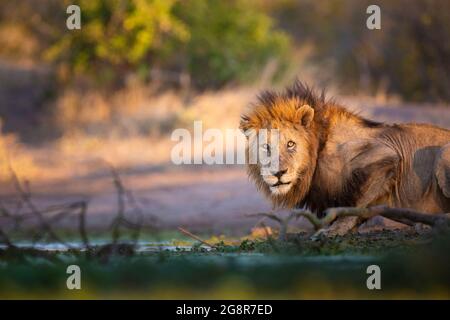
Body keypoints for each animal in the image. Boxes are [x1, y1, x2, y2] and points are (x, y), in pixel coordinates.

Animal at [241, 80, 450, 235]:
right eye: (266, 147)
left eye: (290, 144)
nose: (278, 173)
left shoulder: (386, 154)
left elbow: (355, 204)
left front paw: (334, 230)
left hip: (443, 153)